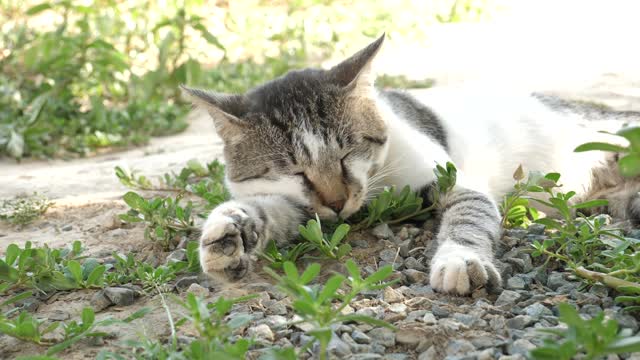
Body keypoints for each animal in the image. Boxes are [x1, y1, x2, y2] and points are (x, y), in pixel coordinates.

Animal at [181, 34, 640, 296]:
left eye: (347, 153)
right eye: (294, 171)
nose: (338, 202)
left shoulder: (453, 179)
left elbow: (469, 218)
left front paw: (460, 260)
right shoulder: (300, 207)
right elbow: (271, 211)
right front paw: (228, 234)